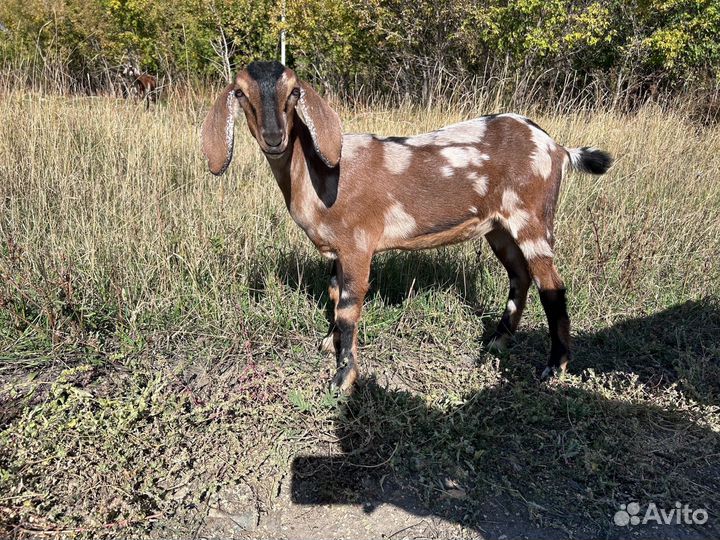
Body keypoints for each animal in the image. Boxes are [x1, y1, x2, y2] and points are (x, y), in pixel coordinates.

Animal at [201, 61, 613, 391]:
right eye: (240, 93)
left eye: (294, 91)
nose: (275, 138)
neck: (319, 175)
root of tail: (557, 148)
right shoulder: (339, 250)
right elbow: (334, 293)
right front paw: (330, 342)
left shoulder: (358, 243)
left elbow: (349, 307)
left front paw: (342, 379)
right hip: (499, 227)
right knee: (520, 277)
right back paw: (497, 343)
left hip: (532, 218)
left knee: (552, 286)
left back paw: (554, 366)